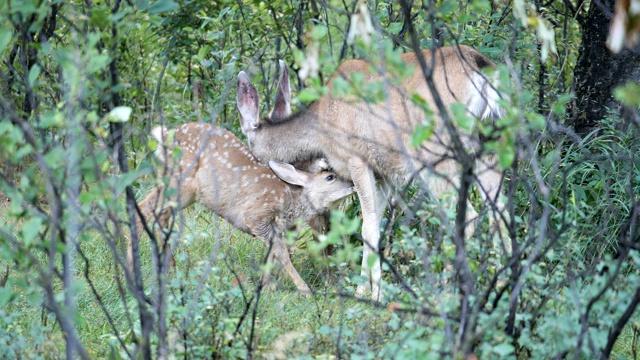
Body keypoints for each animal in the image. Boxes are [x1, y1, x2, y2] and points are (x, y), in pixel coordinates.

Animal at [132, 122, 356, 294]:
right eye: (330, 177)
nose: (353, 184)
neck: (289, 200)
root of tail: (164, 135)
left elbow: (272, 253)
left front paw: (266, 287)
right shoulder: (256, 215)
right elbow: (281, 252)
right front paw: (304, 290)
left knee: (160, 214)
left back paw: (169, 268)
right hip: (182, 183)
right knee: (144, 207)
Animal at [238, 45, 508, 300]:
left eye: (252, 153)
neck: (322, 124)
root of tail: (481, 66)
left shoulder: (357, 158)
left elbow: (367, 227)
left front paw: (372, 293)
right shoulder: (384, 171)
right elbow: (376, 221)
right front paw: (364, 288)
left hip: (437, 153)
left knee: (466, 216)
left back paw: (448, 290)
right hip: (490, 146)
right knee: (499, 214)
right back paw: (499, 287)